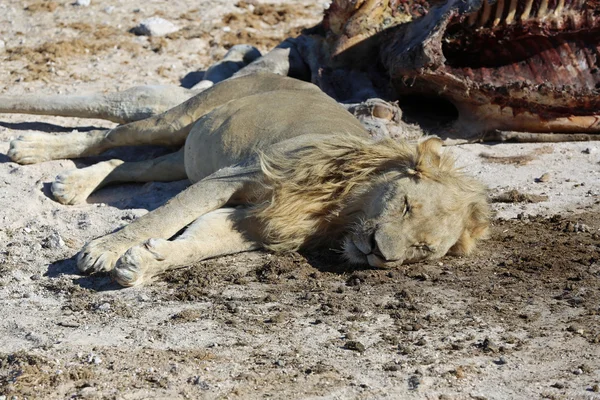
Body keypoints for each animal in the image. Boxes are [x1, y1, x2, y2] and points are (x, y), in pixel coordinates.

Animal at [7, 71, 490, 284]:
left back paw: (72, 186)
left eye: (423, 249)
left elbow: (199, 243)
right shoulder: (231, 177)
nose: (378, 253)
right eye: (406, 205)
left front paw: (144, 263)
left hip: (188, 158)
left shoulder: (259, 223)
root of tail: (273, 71)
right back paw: (30, 150)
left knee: (130, 166)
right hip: (179, 120)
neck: (341, 210)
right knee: (105, 136)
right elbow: (163, 217)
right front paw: (104, 251)